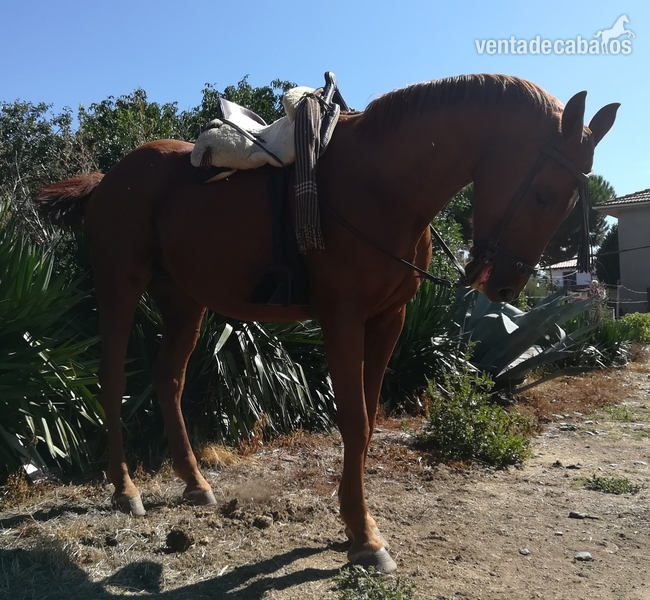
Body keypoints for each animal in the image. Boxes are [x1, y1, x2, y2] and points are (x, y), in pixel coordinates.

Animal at [36, 74, 618, 573]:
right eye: (543, 193)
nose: (504, 288)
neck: (383, 183)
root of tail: (108, 181)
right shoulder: (342, 316)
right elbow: (354, 421)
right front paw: (364, 536)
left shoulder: (388, 320)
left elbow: (369, 422)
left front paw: (356, 525)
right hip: (120, 286)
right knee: (113, 379)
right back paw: (125, 489)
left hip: (184, 300)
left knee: (169, 380)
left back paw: (195, 483)